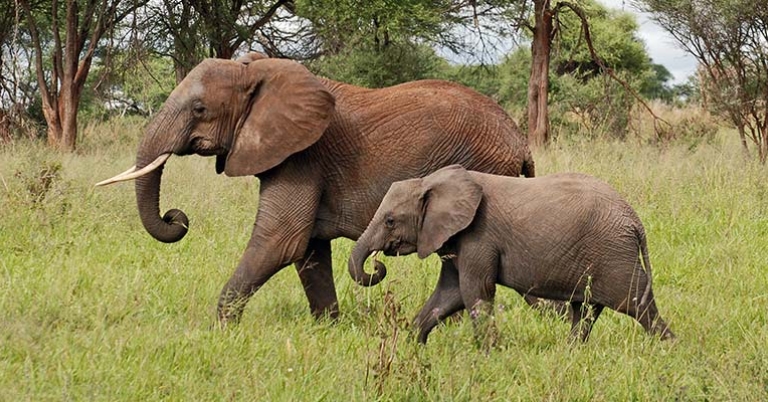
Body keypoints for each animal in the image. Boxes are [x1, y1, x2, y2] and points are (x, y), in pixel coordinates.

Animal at [96, 53, 535, 325]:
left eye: (200, 109)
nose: (176, 217)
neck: (258, 72)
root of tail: (520, 142)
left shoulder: (303, 155)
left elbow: (280, 240)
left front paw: (221, 328)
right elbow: (307, 249)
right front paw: (329, 328)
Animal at [349, 164, 675, 344]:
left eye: (390, 221)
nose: (376, 266)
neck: (431, 181)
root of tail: (635, 221)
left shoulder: (479, 237)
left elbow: (474, 293)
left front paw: (489, 354)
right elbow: (448, 295)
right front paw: (413, 345)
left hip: (613, 253)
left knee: (637, 303)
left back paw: (668, 348)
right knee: (585, 311)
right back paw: (571, 352)